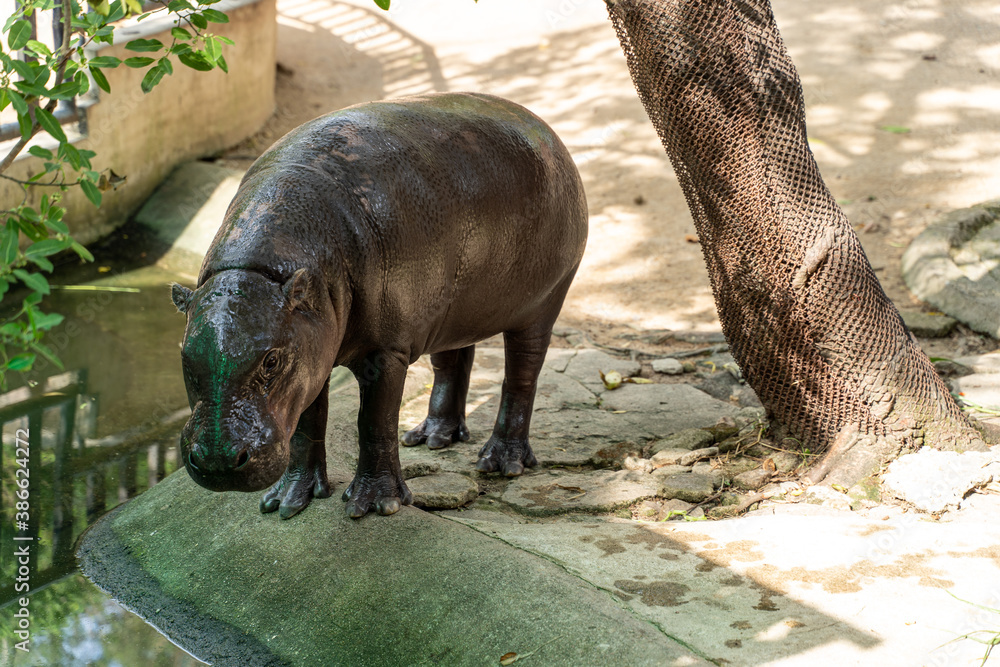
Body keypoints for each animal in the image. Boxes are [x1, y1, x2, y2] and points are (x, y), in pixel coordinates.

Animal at [171, 92, 588, 519]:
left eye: (271, 361)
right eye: (183, 355)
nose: (218, 461)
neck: (267, 269)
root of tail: (545, 129)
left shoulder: (384, 351)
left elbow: (374, 422)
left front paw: (375, 504)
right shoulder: (309, 351)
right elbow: (306, 425)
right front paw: (287, 502)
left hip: (544, 301)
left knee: (522, 375)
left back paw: (501, 462)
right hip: (450, 310)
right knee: (451, 362)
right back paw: (432, 437)